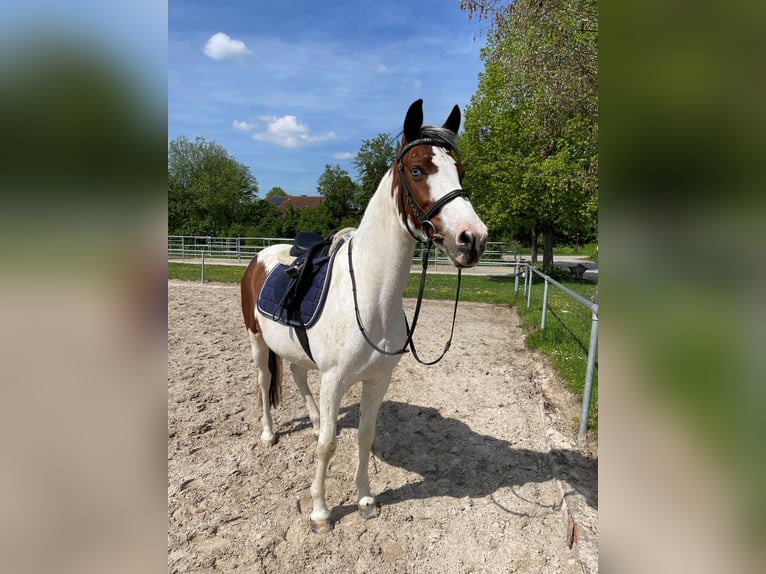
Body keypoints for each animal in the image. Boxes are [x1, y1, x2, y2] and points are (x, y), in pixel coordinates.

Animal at [243, 100, 488, 536]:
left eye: (459, 170)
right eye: (417, 170)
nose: (472, 238)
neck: (371, 299)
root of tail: (259, 258)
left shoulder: (377, 381)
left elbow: (365, 437)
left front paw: (365, 499)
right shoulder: (335, 380)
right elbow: (327, 446)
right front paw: (320, 512)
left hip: (296, 351)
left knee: (298, 378)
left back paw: (313, 419)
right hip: (257, 342)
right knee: (264, 381)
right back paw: (269, 434)